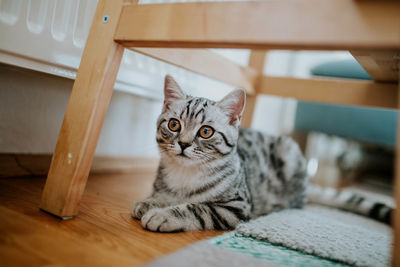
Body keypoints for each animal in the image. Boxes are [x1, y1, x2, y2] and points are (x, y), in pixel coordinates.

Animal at [132, 75, 394, 232]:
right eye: (174, 125)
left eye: (206, 131)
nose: (184, 144)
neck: (185, 177)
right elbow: (162, 196)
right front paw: (149, 203)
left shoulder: (234, 207)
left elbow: (197, 208)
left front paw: (164, 215)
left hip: (289, 155)